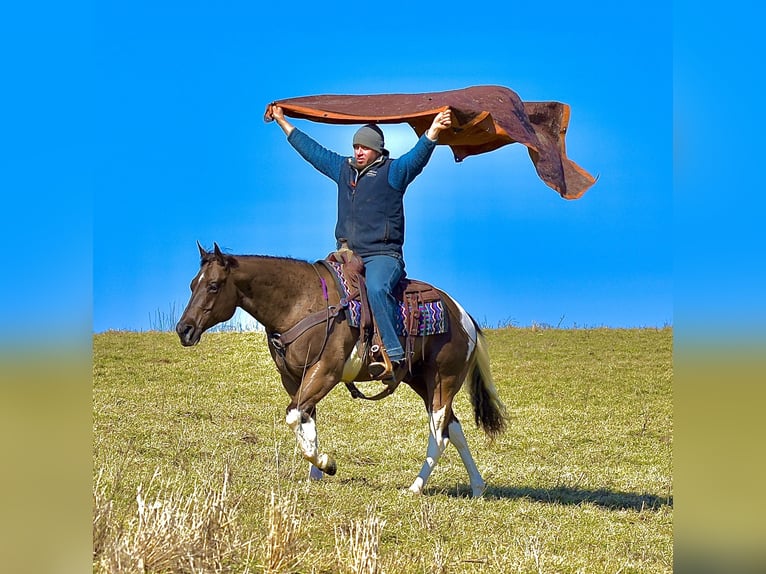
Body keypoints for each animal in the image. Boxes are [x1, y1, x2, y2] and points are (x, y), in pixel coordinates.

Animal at [176, 242, 507, 497]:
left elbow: (294, 415)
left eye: (213, 285)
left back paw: (415, 487)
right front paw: (314, 476)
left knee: (439, 435)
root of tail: (463, 316)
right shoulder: (294, 378)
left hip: (443, 382)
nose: (184, 329)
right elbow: (306, 418)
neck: (301, 303)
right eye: (192, 284)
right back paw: (478, 487)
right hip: (422, 383)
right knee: (454, 428)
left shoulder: (326, 372)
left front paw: (326, 463)